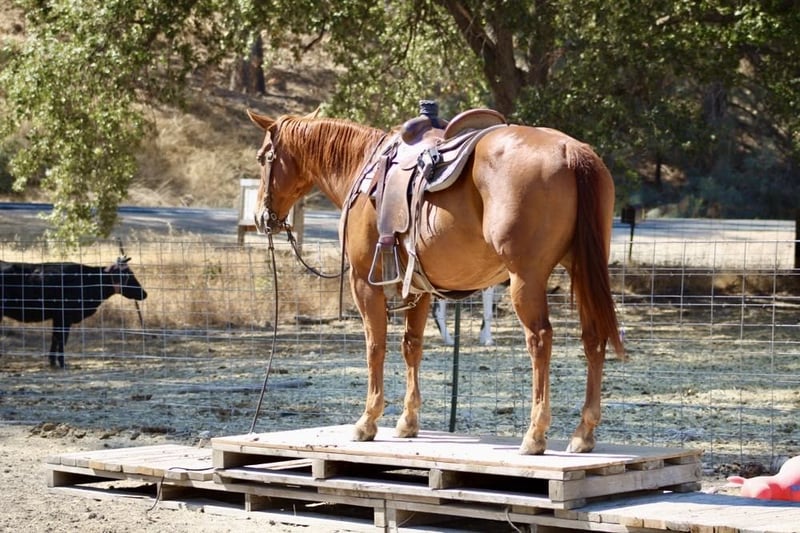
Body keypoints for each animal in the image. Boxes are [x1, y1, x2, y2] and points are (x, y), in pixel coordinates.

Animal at [0, 256, 147, 368]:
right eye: (128, 275)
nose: (144, 293)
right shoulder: (65, 316)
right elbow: (61, 339)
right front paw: (62, 363)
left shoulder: (58, 317)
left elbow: (55, 338)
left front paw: (53, 362)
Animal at [247, 108, 623, 454]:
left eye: (264, 157)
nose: (261, 218)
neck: (364, 169)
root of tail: (569, 150)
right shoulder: (418, 290)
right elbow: (411, 346)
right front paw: (407, 421)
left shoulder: (364, 283)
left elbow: (375, 347)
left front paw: (368, 421)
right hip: (582, 269)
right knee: (593, 338)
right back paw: (583, 433)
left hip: (525, 279)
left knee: (540, 340)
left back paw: (535, 434)